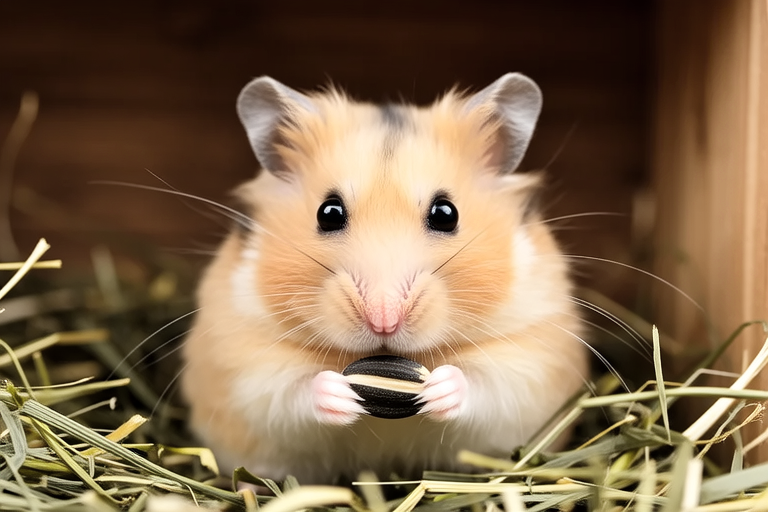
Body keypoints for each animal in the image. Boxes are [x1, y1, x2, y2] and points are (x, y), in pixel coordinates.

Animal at [180, 73, 589, 484]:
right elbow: (288, 392)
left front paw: (438, 387)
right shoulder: (245, 366)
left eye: (446, 214)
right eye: (328, 213)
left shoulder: (532, 357)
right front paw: (339, 391)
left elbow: (485, 384)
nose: (384, 320)